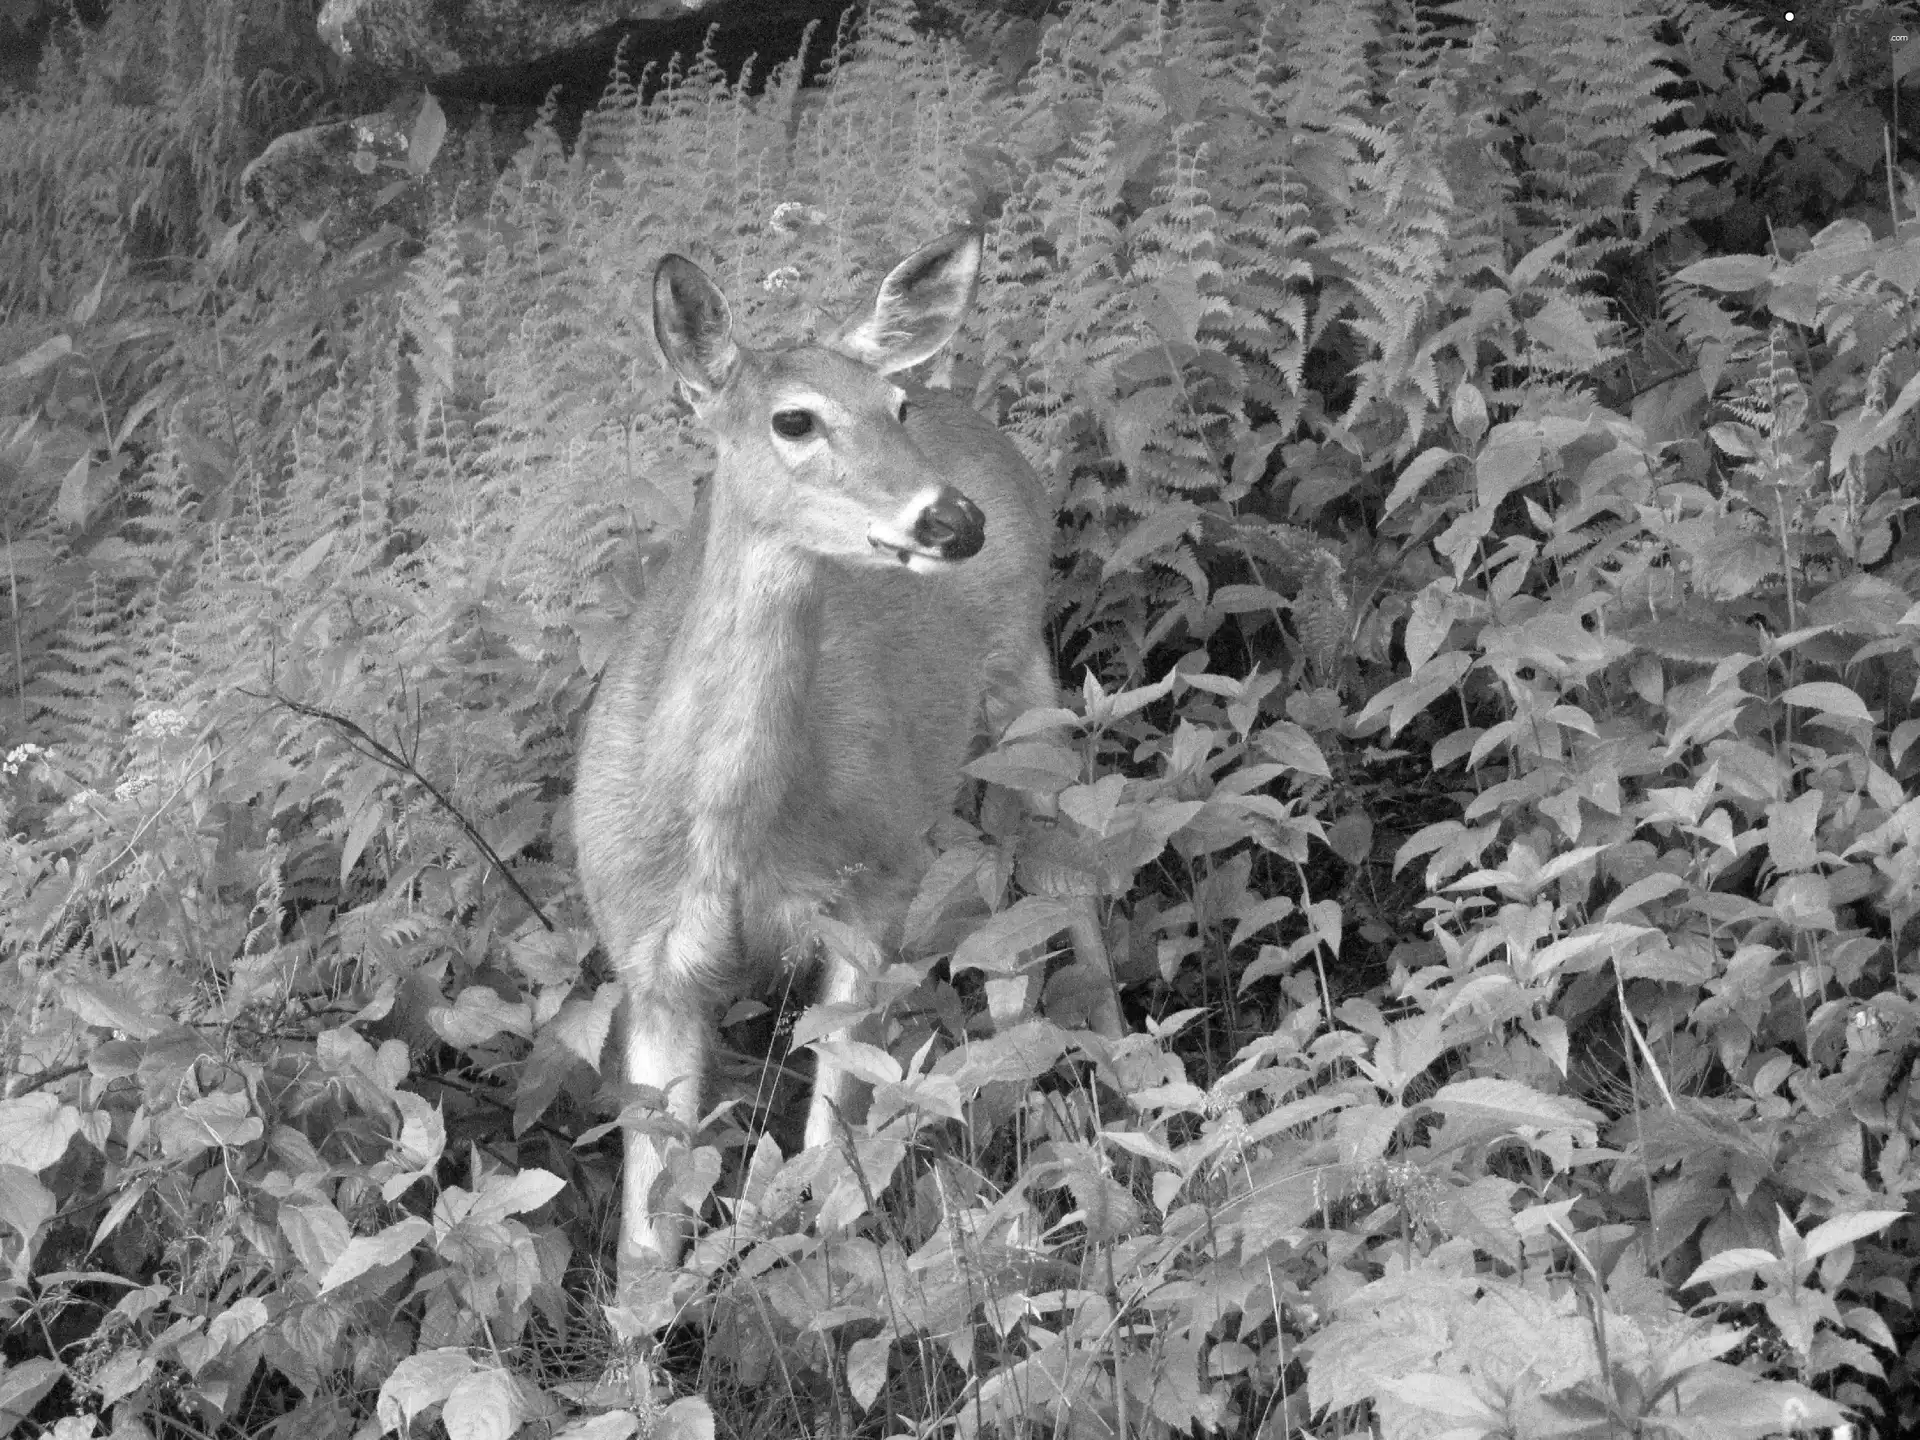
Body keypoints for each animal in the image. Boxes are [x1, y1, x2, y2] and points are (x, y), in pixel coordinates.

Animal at [568, 231, 1113, 1290]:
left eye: (891, 408)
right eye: (793, 418)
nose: (953, 519)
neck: (728, 833)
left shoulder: (869, 898)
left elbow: (825, 1178)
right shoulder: (647, 961)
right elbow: (645, 1252)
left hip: (1024, 676)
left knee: (1066, 873)